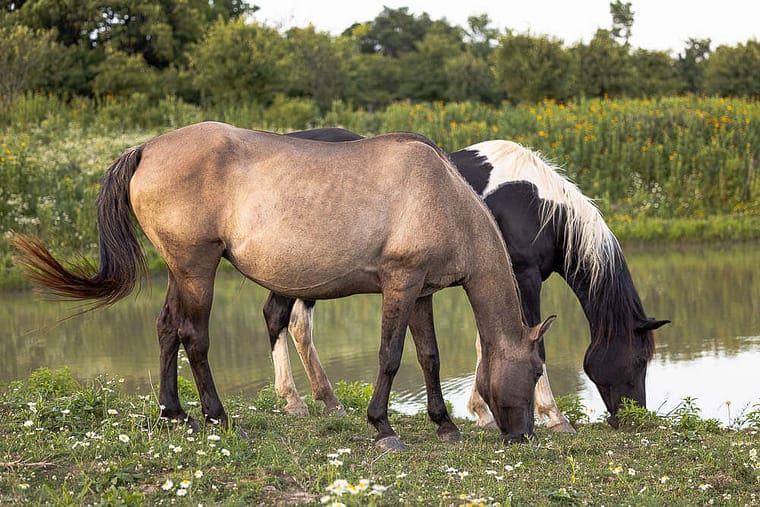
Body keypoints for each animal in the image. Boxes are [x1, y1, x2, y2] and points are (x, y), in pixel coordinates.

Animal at [12, 121, 555, 449]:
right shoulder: (400, 285)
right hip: (198, 268)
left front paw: (443, 424)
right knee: (193, 336)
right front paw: (382, 426)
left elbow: (429, 357)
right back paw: (217, 417)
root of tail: (146, 148)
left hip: (179, 269)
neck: (444, 196)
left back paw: (174, 413)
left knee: (167, 328)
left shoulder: (421, 291)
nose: (523, 436)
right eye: (534, 372)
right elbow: (390, 356)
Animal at [266, 128, 669, 429]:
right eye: (639, 361)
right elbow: (533, 344)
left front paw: (483, 410)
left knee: (297, 323)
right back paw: (294, 400)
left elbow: (486, 341)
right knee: (278, 317)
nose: (633, 418)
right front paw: (553, 417)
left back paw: (327, 401)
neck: (536, 207)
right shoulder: (523, 278)